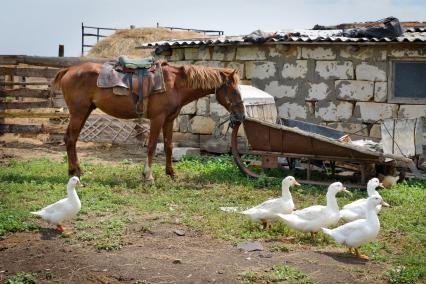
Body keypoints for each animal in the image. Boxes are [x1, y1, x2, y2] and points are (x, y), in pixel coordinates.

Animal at [51, 62, 245, 182]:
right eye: (234, 91)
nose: (241, 116)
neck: (174, 84)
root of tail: (68, 70)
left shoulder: (169, 120)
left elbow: (168, 146)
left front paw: (171, 173)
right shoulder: (157, 119)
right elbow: (151, 146)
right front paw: (148, 176)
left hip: (84, 112)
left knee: (72, 139)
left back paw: (76, 171)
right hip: (78, 113)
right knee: (70, 139)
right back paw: (75, 172)